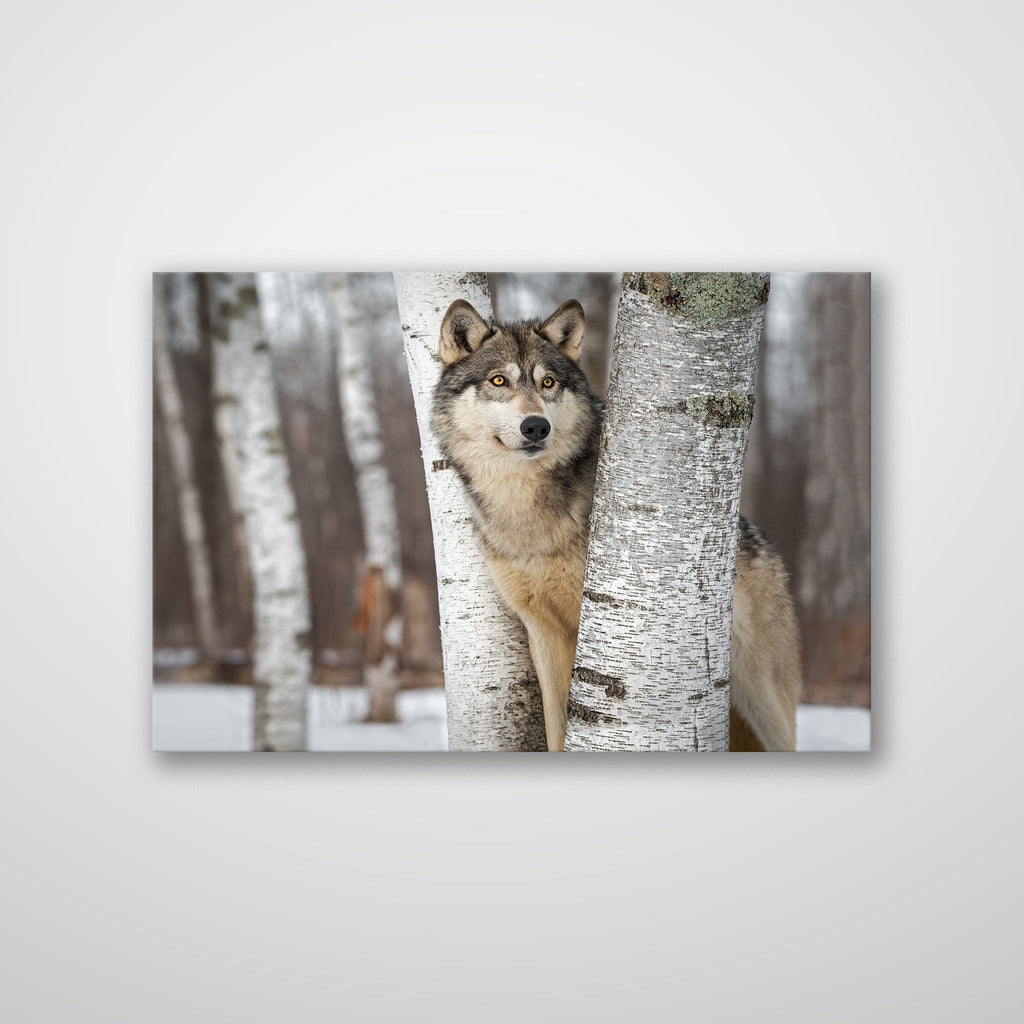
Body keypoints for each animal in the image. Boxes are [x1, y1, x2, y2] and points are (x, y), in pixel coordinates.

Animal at [431, 297, 801, 752]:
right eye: (499, 380)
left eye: (548, 382)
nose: (536, 426)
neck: (526, 512)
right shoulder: (542, 630)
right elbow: (556, 727)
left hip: (765, 704)